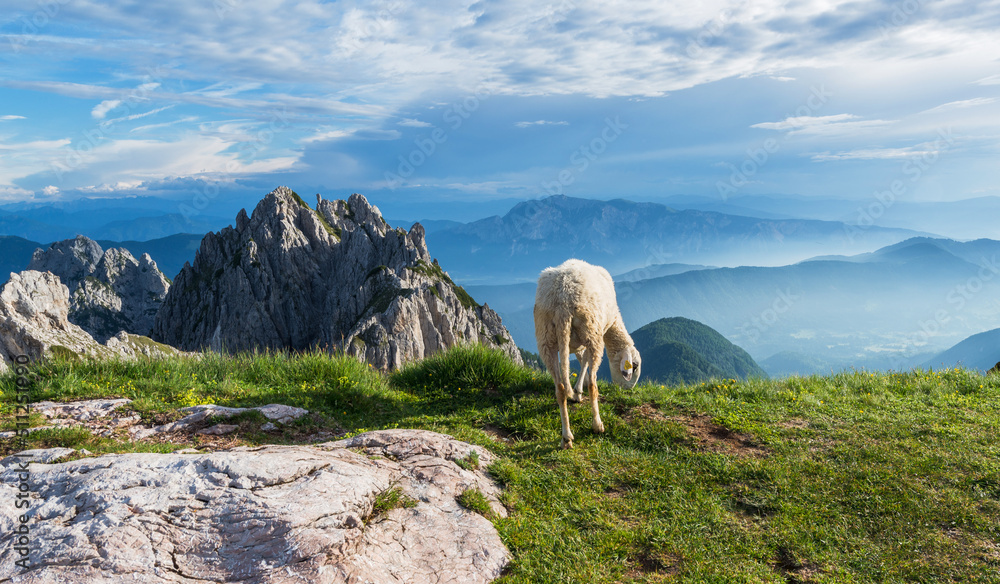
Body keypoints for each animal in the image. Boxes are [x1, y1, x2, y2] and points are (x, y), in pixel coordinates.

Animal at [533, 259, 641, 449]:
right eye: (634, 366)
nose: (628, 389)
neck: (614, 322)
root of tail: (563, 300)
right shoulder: (594, 335)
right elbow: (585, 362)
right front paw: (578, 391)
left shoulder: (576, 343)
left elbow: (580, 360)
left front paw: (576, 391)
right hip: (592, 331)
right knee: (593, 384)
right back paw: (597, 424)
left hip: (545, 337)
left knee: (560, 389)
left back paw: (566, 437)